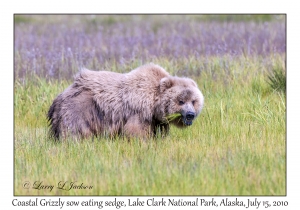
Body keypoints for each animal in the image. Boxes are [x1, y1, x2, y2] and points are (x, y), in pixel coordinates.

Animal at [47, 63, 204, 140]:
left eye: (194, 101)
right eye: (181, 101)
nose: (190, 114)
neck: (154, 104)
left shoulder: (156, 120)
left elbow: (159, 132)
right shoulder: (138, 112)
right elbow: (136, 131)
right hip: (80, 109)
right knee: (73, 131)